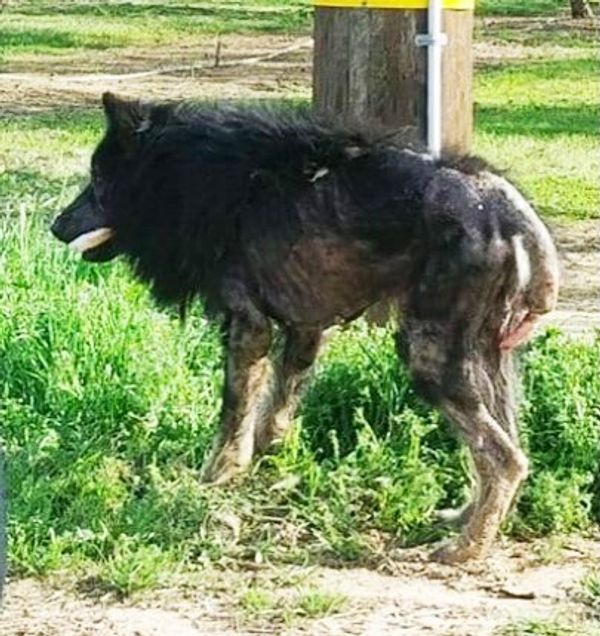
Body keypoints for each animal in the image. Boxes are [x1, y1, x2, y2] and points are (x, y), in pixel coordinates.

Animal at [50, 93, 556, 560]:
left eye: (98, 179)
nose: (55, 226)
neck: (195, 175)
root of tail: (508, 209)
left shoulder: (249, 328)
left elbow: (233, 416)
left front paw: (214, 479)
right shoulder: (305, 329)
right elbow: (273, 415)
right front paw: (261, 471)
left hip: (429, 358)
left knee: (504, 458)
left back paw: (466, 548)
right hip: (489, 361)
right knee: (508, 447)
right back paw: (467, 519)